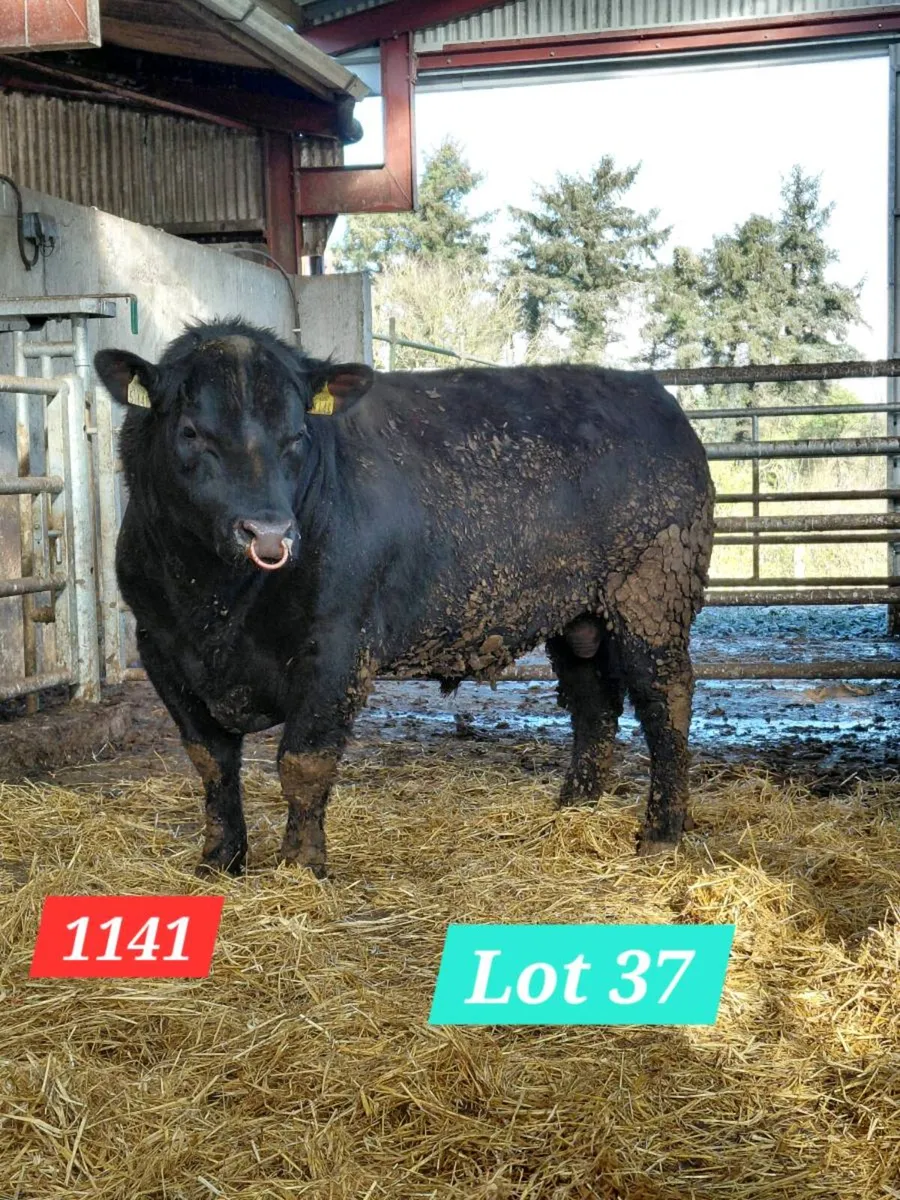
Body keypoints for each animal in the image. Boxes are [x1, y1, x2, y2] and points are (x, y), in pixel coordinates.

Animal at [95, 320, 714, 879]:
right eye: (191, 431)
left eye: (297, 435)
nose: (268, 533)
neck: (215, 603)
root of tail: (652, 393)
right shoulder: (161, 649)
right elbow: (212, 763)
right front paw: (220, 861)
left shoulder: (338, 648)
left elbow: (304, 761)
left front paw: (300, 868)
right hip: (579, 615)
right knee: (593, 702)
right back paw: (572, 808)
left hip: (652, 598)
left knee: (665, 699)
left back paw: (661, 834)